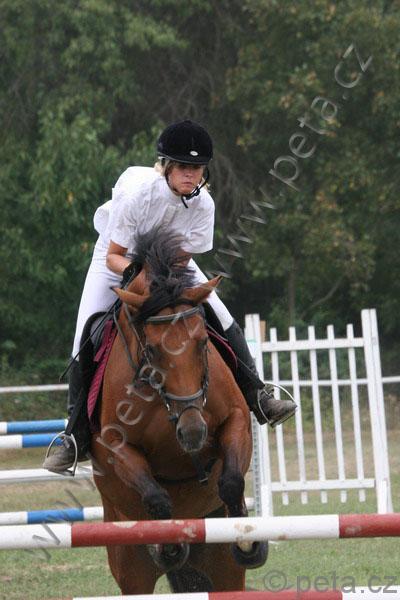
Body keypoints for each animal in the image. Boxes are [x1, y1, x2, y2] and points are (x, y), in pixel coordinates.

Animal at [90, 229, 268, 594]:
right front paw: (168, 544)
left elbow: (231, 481)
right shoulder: (116, 445)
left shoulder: (236, 420)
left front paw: (248, 541)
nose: (194, 432)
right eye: (152, 350)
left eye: (203, 342)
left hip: (225, 572)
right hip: (130, 568)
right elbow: (157, 497)